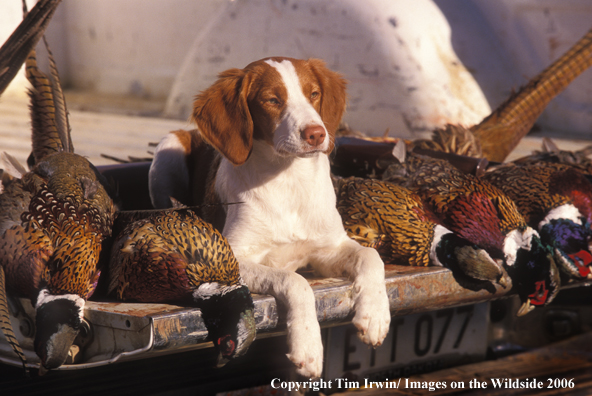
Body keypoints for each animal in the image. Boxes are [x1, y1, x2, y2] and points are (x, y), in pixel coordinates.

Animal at [148, 56, 390, 378]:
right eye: (272, 100)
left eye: (313, 94)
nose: (316, 134)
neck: (288, 180)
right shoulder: (230, 260)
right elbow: (294, 280)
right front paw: (308, 346)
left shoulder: (328, 249)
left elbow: (371, 257)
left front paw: (375, 315)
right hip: (168, 150)